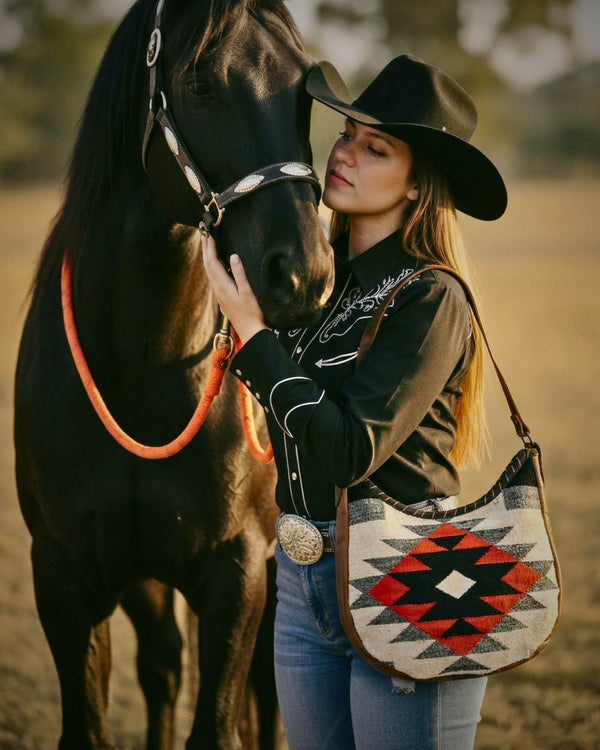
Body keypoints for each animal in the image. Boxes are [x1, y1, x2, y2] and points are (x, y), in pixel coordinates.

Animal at [13, 0, 333, 748]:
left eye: (306, 90)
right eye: (201, 84)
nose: (303, 274)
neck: (141, 365)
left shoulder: (238, 571)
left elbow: (221, 721)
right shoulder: (64, 576)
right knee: (162, 666)